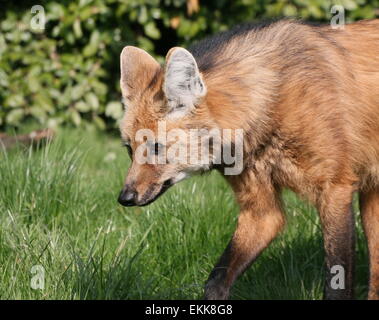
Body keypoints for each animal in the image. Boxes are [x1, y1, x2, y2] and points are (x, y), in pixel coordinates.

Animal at [118, 19, 379, 300]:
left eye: (156, 147)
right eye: (130, 150)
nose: (125, 198)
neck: (270, 108)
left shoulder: (335, 190)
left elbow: (336, 282)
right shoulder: (261, 213)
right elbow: (216, 281)